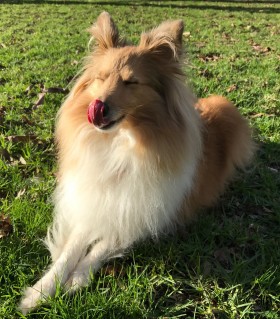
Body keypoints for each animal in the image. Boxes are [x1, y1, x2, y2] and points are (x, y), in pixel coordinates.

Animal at [19, 11, 256, 316]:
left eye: (131, 82)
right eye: (101, 78)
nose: (97, 108)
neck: (123, 144)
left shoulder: (141, 211)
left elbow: (100, 247)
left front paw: (76, 280)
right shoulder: (97, 200)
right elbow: (71, 249)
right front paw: (39, 291)